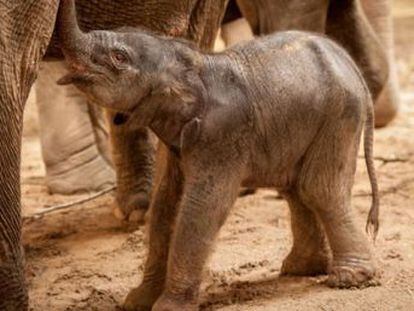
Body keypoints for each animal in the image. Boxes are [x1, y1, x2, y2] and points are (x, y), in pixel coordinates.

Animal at [1, 0, 392, 310]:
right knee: (296, 189)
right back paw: (300, 269)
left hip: (339, 118)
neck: (192, 64)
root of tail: (349, 67)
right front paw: (137, 301)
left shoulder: (223, 136)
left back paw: (349, 279)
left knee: (317, 188)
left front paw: (167, 307)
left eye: (119, 57)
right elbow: (166, 204)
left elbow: (201, 205)